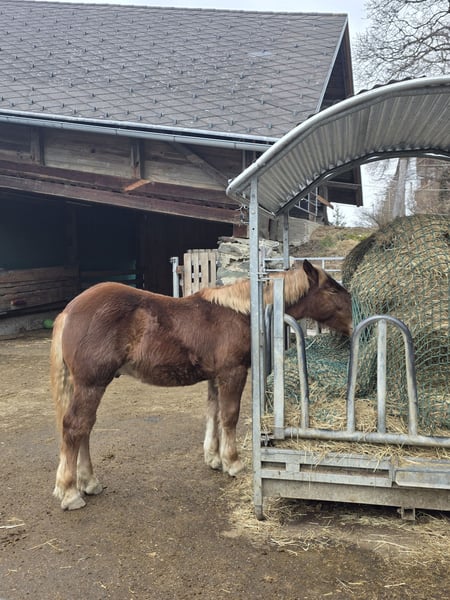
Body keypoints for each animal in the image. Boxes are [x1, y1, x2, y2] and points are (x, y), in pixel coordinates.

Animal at [51, 259, 352, 510]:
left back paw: (88, 482)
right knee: (76, 427)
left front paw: (214, 458)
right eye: (332, 289)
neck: (241, 313)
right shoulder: (232, 373)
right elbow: (229, 416)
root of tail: (68, 311)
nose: (354, 320)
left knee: (85, 428)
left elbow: (213, 413)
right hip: (91, 384)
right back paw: (70, 492)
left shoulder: (215, 377)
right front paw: (233, 462)